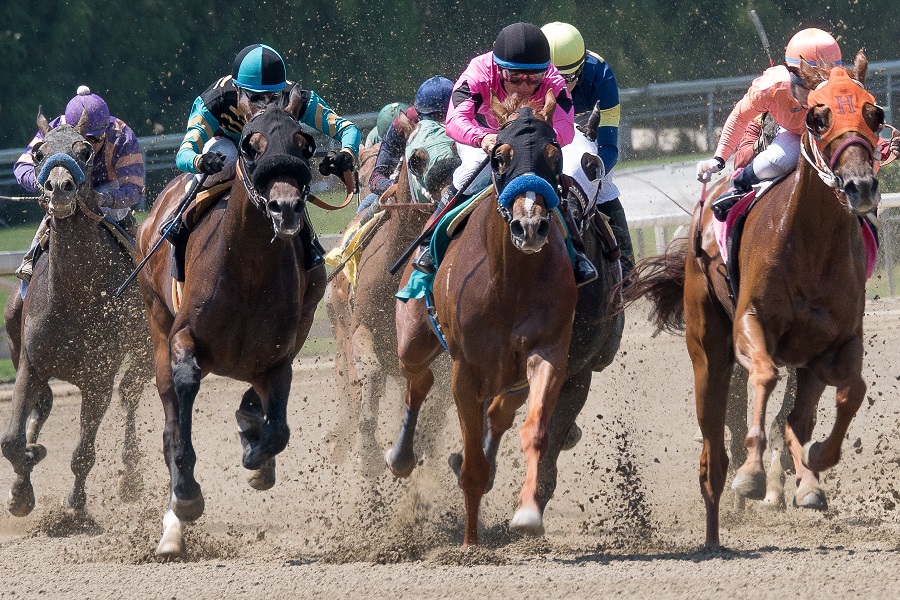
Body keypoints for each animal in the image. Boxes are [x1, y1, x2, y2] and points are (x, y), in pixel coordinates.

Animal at [135, 104, 326, 556]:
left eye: (303, 143)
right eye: (251, 146)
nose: (285, 208)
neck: (247, 270)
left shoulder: (277, 358)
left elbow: (277, 430)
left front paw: (255, 453)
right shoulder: (183, 339)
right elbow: (183, 401)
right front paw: (187, 495)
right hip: (156, 321)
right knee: (170, 419)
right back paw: (173, 525)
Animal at [382, 91, 576, 548]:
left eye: (555, 156)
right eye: (500, 158)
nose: (529, 226)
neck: (510, 282)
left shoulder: (548, 353)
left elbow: (535, 432)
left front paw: (527, 513)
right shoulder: (465, 370)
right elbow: (470, 464)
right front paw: (470, 544)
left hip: (510, 376)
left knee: (498, 412)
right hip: (413, 338)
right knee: (418, 380)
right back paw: (400, 456)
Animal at [624, 54, 884, 548]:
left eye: (874, 114)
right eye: (818, 118)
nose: (860, 186)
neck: (812, 243)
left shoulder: (838, 341)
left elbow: (851, 392)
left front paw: (817, 460)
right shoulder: (751, 322)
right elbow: (763, 377)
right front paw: (752, 474)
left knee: (796, 417)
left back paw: (804, 480)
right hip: (707, 346)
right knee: (714, 443)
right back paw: (715, 528)